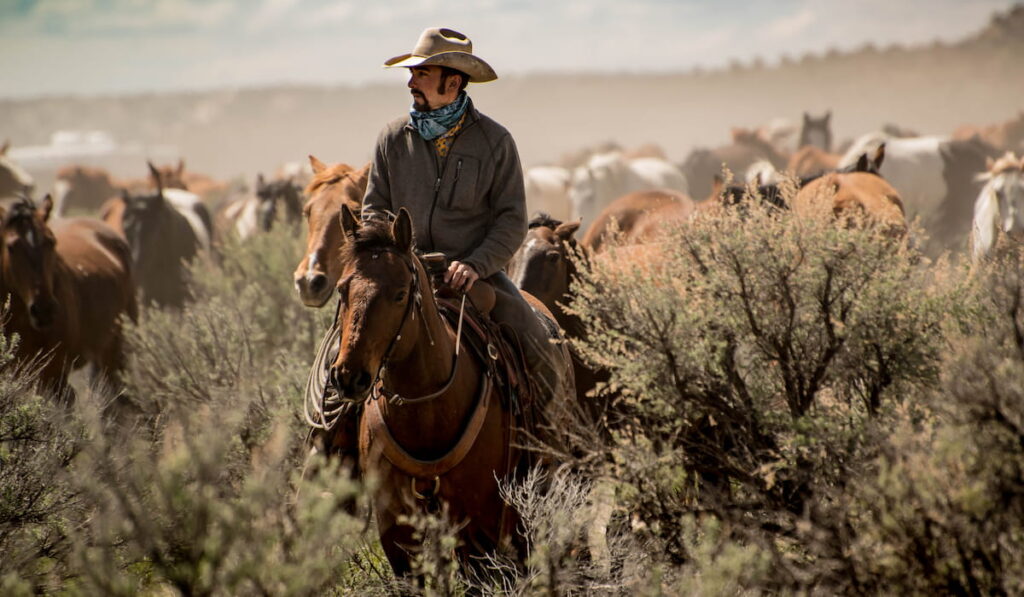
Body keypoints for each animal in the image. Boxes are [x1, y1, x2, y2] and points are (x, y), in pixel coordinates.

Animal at [327, 207, 569, 581]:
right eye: (342, 289)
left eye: (400, 294)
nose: (349, 377)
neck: (426, 412)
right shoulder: (395, 523)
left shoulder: (474, 517)